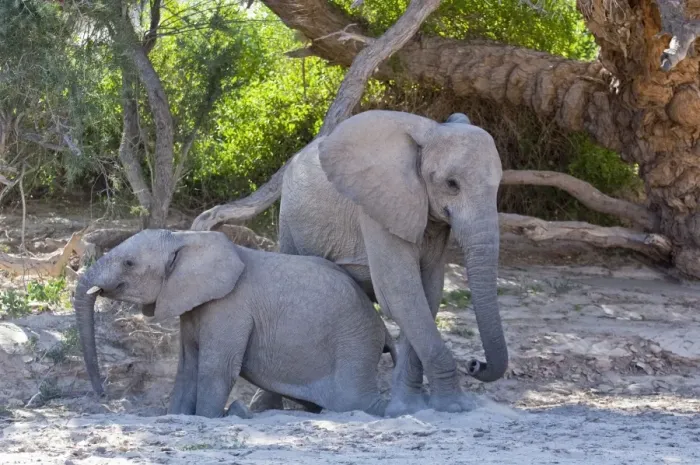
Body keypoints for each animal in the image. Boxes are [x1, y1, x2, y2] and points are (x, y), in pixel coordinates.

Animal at [73, 229, 396, 418]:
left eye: (129, 263)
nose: (102, 394)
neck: (185, 237)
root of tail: (381, 327)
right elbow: (188, 368)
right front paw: (176, 417)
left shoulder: (230, 307)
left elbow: (216, 369)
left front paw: (206, 418)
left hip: (353, 343)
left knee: (355, 403)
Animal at [193, 110, 508, 416]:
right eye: (452, 184)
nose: (475, 364)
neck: (431, 132)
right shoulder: (376, 210)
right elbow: (400, 295)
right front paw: (452, 407)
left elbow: (427, 294)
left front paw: (409, 407)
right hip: (289, 221)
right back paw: (271, 408)